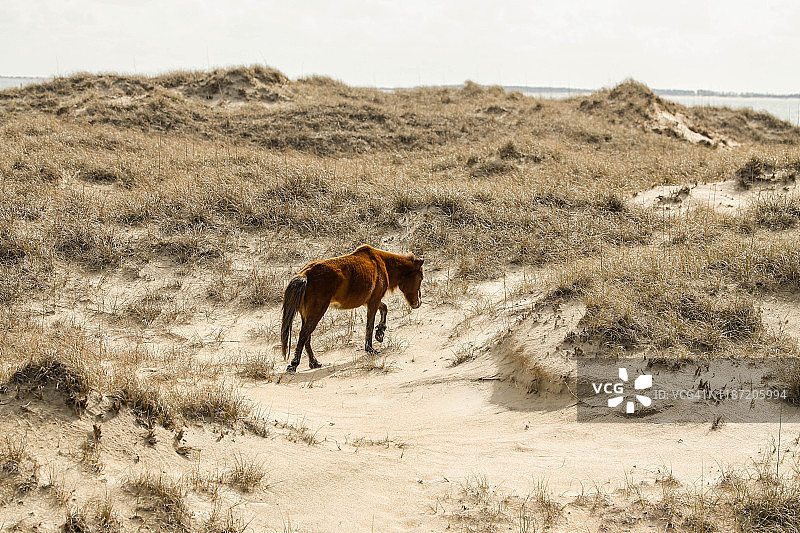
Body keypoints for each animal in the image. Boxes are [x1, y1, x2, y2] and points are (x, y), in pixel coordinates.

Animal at [280, 245, 424, 373]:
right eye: (421, 278)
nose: (418, 303)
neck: (383, 263)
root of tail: (305, 274)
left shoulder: (370, 301)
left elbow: (384, 308)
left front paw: (380, 333)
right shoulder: (373, 301)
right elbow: (369, 325)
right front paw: (370, 348)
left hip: (308, 314)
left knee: (307, 336)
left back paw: (314, 363)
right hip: (317, 312)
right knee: (304, 334)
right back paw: (294, 365)